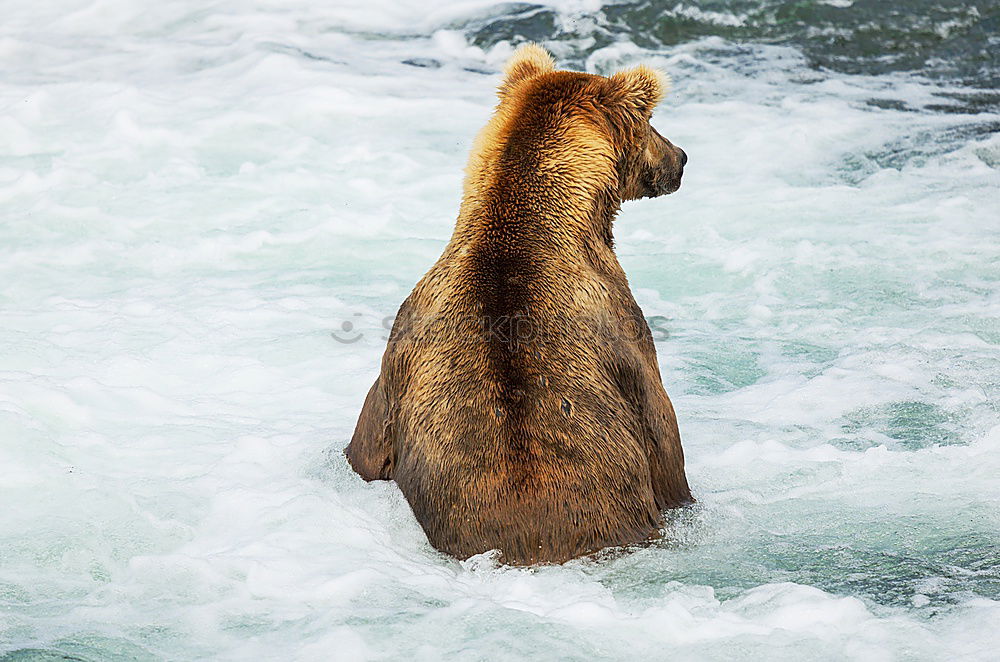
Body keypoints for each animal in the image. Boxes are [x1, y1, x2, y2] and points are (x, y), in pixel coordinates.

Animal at [348, 42, 692, 564]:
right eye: (651, 120)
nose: (682, 157)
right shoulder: (623, 329)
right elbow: (666, 447)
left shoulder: (402, 345)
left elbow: (364, 448)